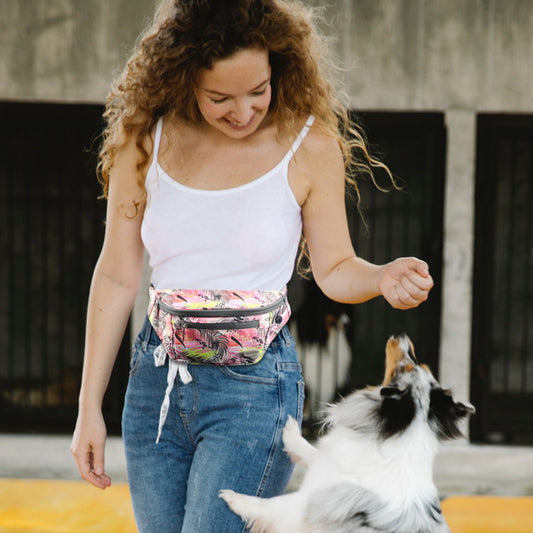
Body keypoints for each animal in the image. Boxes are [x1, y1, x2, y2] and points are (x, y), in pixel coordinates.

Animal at [219, 332, 474, 532]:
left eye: (405, 367)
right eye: (420, 365)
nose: (401, 335)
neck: (401, 432)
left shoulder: (306, 505)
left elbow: (270, 505)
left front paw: (233, 498)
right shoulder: (328, 466)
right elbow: (311, 452)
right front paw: (291, 429)